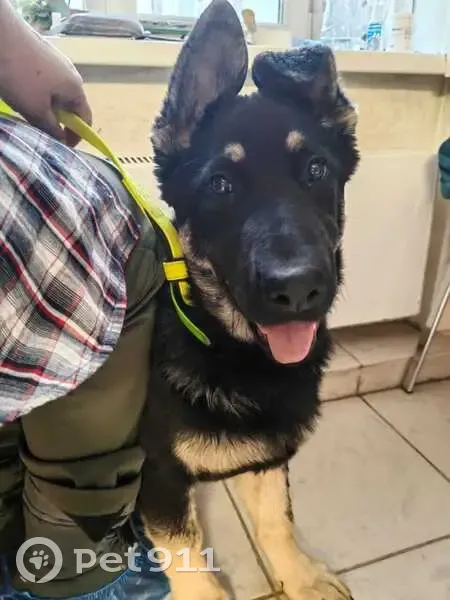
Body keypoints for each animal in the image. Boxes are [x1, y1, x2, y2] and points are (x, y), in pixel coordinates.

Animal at [137, 1, 359, 598]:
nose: (297, 289)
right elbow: (190, 564)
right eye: (219, 185)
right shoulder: (158, 478)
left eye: (316, 171)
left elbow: (276, 518)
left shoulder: (269, 453)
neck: (230, 348)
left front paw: (299, 577)